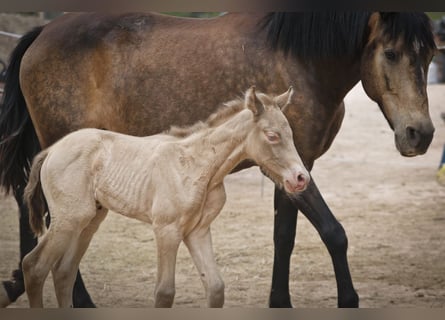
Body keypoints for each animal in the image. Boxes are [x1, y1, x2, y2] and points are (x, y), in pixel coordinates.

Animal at [22, 85, 308, 308]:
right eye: (272, 135)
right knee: (34, 267)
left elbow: (215, 288)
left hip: (90, 221)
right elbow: (164, 293)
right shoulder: (166, 229)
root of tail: (52, 150)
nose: (300, 178)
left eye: (292, 134)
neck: (200, 164)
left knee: (63, 272)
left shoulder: (198, 230)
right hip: (69, 219)